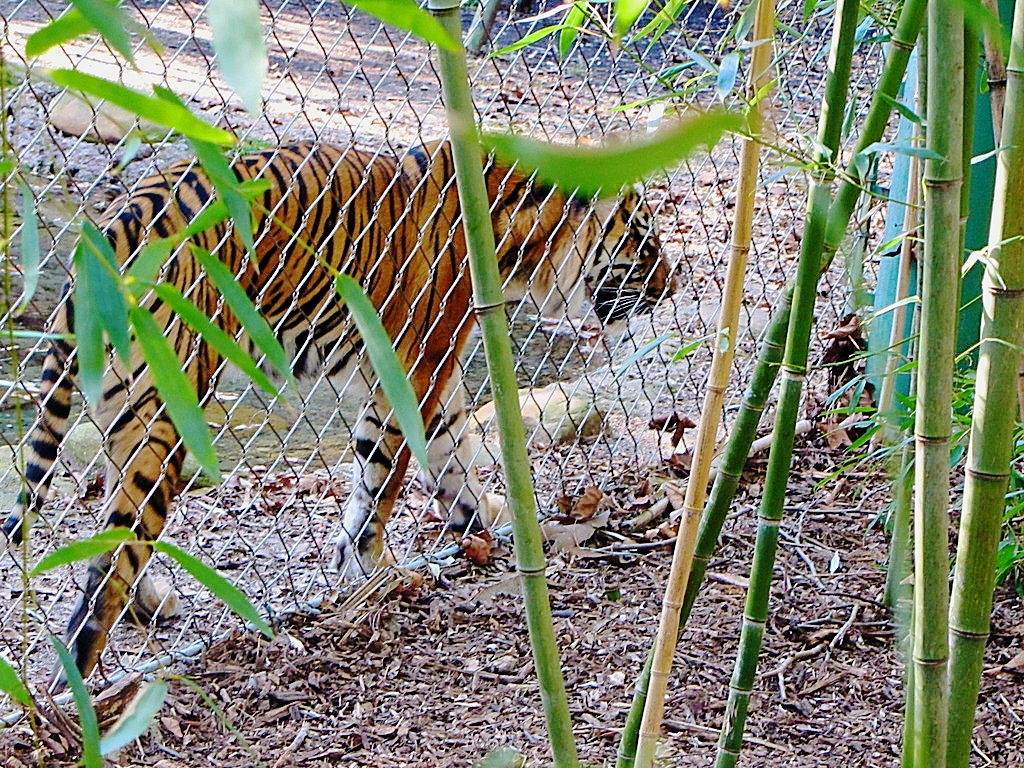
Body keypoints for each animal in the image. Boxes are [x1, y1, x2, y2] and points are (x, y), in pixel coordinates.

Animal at [2, 139, 670, 679]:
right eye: (643, 240)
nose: (672, 285)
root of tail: (122, 222)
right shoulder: (415, 368)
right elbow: (384, 474)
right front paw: (372, 566)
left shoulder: (432, 369)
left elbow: (449, 451)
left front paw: (475, 523)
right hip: (171, 406)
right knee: (112, 560)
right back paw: (76, 689)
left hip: (124, 406)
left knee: (113, 526)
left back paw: (148, 610)